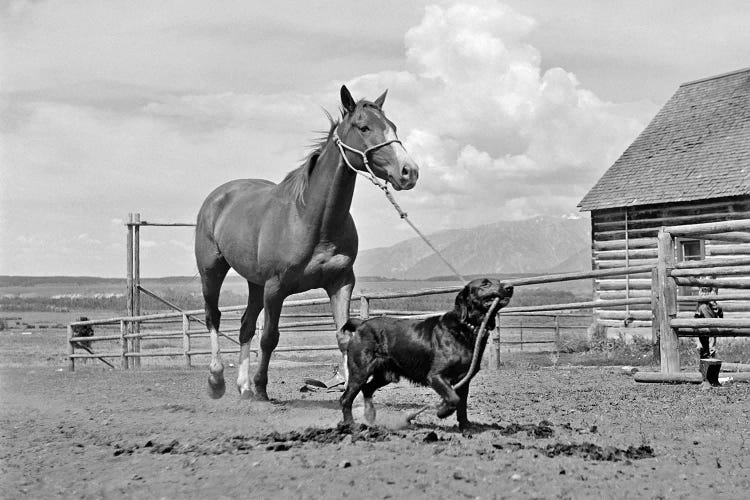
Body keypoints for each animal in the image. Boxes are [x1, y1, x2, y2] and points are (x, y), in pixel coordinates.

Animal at [197, 85, 420, 398]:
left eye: (393, 126)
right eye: (364, 127)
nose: (409, 171)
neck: (312, 220)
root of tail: (218, 197)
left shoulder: (340, 282)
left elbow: (343, 337)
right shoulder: (275, 288)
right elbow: (270, 338)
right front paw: (262, 389)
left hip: (255, 283)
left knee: (245, 326)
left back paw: (243, 387)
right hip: (212, 271)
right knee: (213, 317)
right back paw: (217, 380)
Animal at [344, 278, 516, 430]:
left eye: (498, 281)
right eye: (485, 283)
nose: (510, 287)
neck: (465, 327)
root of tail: (362, 324)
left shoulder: (464, 380)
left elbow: (462, 406)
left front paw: (466, 427)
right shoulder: (436, 376)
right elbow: (453, 398)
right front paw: (442, 412)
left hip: (385, 375)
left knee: (367, 389)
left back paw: (370, 416)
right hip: (360, 372)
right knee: (346, 399)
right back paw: (350, 425)